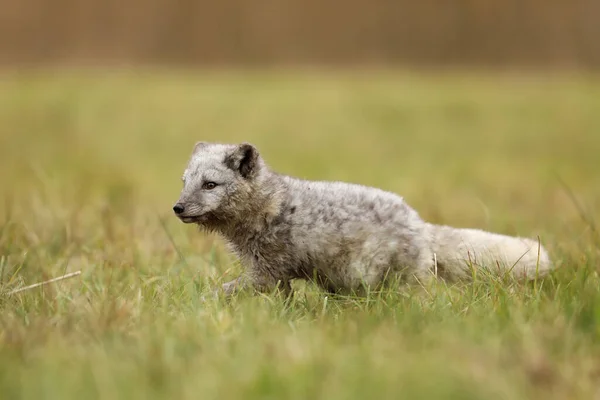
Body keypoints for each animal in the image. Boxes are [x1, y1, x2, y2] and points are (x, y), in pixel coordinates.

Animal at [172, 142, 552, 296]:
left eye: (210, 184)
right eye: (185, 181)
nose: (177, 208)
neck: (272, 205)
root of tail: (419, 223)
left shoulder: (267, 274)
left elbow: (221, 293)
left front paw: (199, 305)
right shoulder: (272, 277)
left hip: (382, 279)